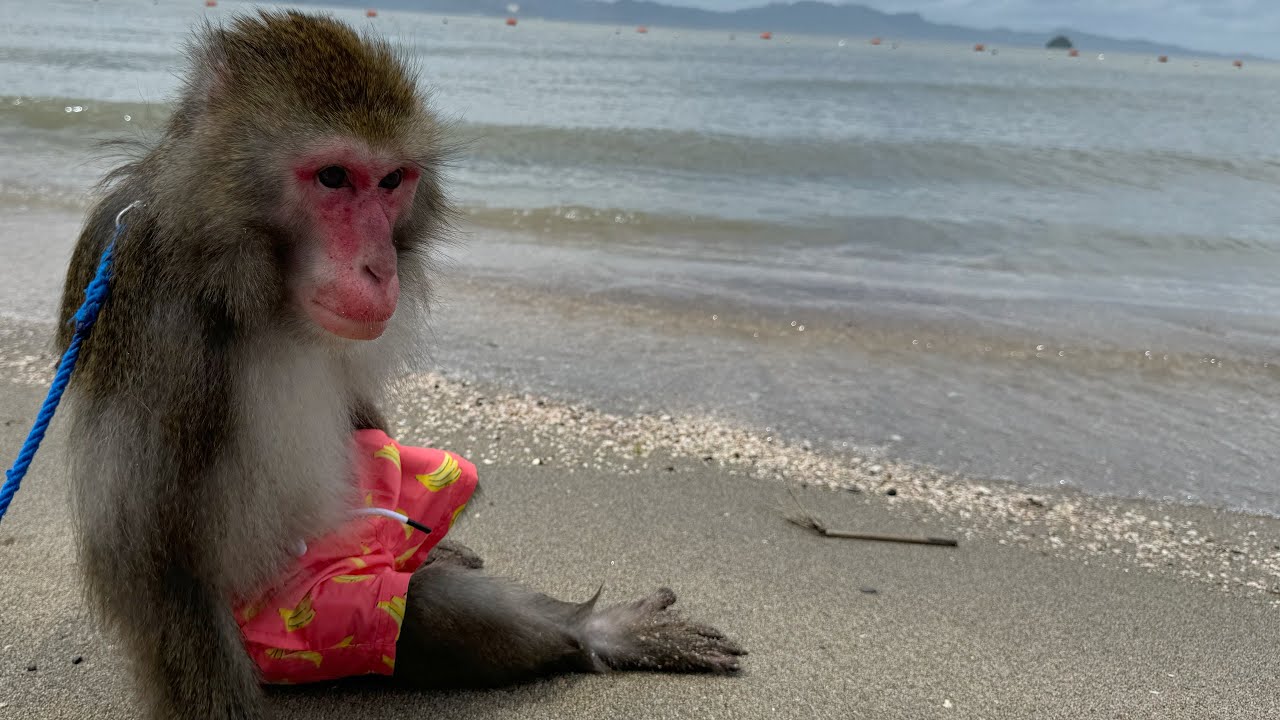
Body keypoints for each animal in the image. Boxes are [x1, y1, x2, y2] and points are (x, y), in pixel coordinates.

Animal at [55, 10, 743, 720]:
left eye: (391, 182)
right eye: (333, 178)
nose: (379, 268)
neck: (241, 272)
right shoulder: (155, 316)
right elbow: (155, 559)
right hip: (300, 622)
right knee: (418, 613)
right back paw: (588, 629)